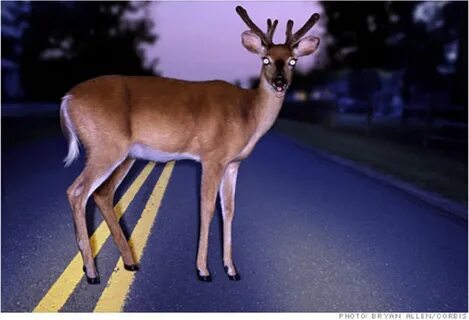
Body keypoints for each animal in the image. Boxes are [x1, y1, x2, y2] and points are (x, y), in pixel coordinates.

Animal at [60, 5, 318, 284]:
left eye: (293, 61)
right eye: (266, 59)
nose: (280, 82)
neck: (248, 114)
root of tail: (67, 99)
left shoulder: (233, 164)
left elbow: (229, 210)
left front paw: (232, 270)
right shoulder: (212, 157)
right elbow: (207, 209)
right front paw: (203, 270)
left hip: (125, 155)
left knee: (102, 194)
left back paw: (129, 263)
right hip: (105, 147)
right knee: (76, 191)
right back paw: (92, 272)